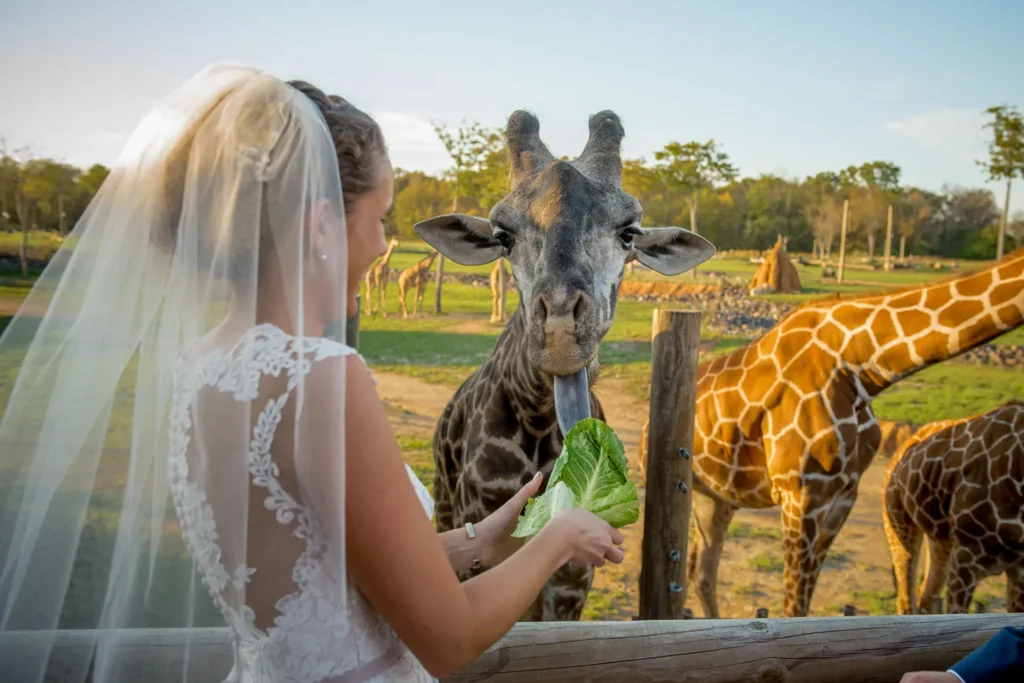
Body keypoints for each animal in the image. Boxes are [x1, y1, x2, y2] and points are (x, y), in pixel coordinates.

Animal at [880, 397, 1024, 618]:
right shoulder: (966, 558)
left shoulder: (1019, 569)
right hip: (898, 521)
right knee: (906, 598)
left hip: (941, 541)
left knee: (925, 595)